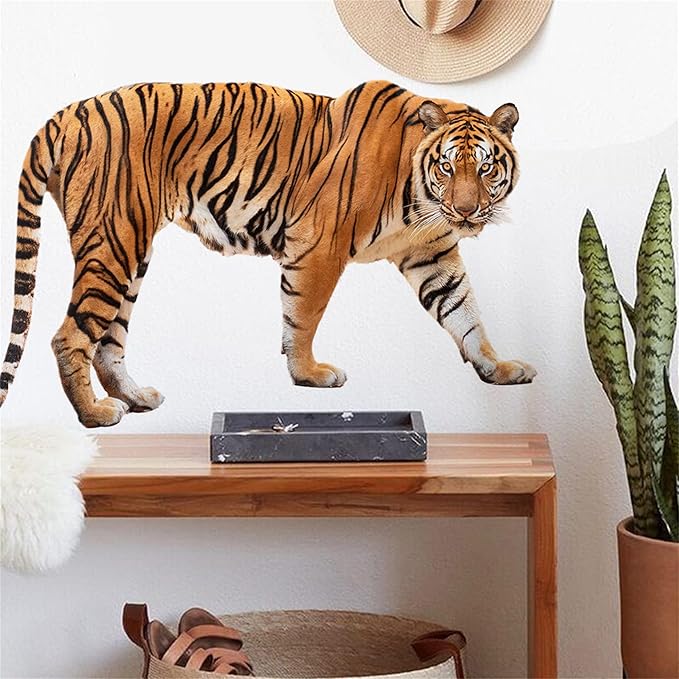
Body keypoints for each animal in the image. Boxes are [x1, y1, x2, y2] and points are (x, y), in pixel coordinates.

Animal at [0, 80, 536, 428]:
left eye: (485, 168)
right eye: (447, 166)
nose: (466, 211)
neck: (421, 199)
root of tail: (65, 113)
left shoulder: (432, 254)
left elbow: (466, 314)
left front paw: (499, 368)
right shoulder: (318, 244)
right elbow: (303, 314)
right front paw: (310, 374)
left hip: (130, 254)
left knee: (109, 339)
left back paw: (136, 398)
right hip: (113, 242)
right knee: (69, 336)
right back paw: (95, 415)